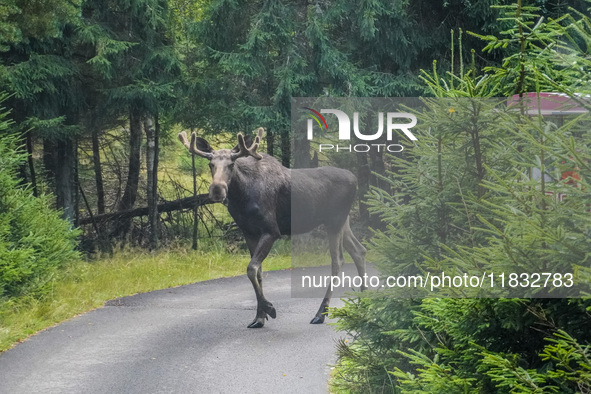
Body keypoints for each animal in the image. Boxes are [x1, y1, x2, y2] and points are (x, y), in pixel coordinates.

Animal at [178, 127, 368, 328]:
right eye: (210, 164)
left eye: (231, 164)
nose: (217, 189)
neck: (241, 198)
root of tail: (355, 179)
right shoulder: (249, 232)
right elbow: (258, 271)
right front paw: (259, 317)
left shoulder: (271, 231)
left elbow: (251, 268)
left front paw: (269, 308)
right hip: (342, 221)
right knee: (359, 250)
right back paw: (363, 301)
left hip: (334, 221)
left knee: (338, 260)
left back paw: (321, 313)